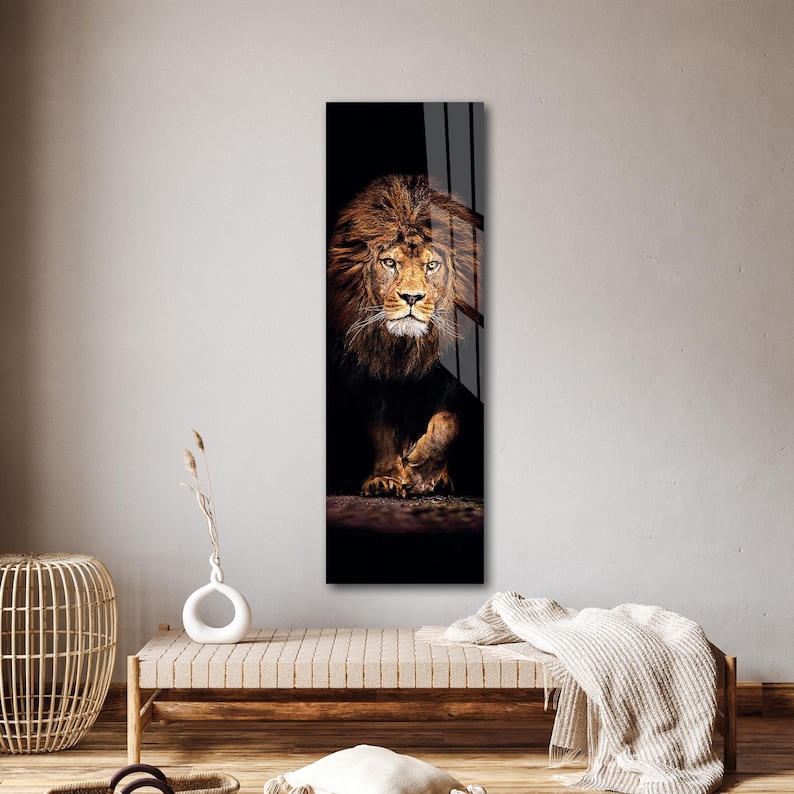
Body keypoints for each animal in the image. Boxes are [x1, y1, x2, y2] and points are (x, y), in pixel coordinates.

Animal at [327, 174, 482, 498]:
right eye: (389, 262)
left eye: (432, 265)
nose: (411, 297)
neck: (406, 348)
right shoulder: (369, 369)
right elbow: (381, 428)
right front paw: (385, 478)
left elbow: (447, 422)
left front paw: (421, 474)